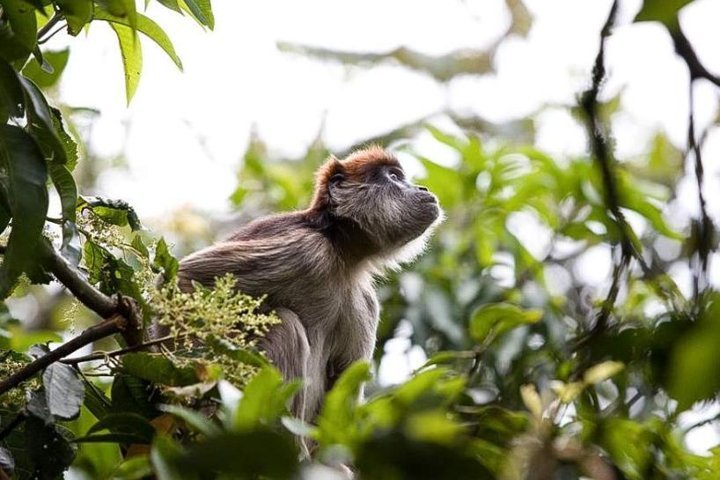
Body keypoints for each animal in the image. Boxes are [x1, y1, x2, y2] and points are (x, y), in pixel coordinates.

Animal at [176, 146, 442, 421]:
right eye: (394, 176)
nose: (421, 188)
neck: (341, 255)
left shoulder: (364, 300)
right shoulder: (307, 248)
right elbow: (184, 278)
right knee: (285, 326)